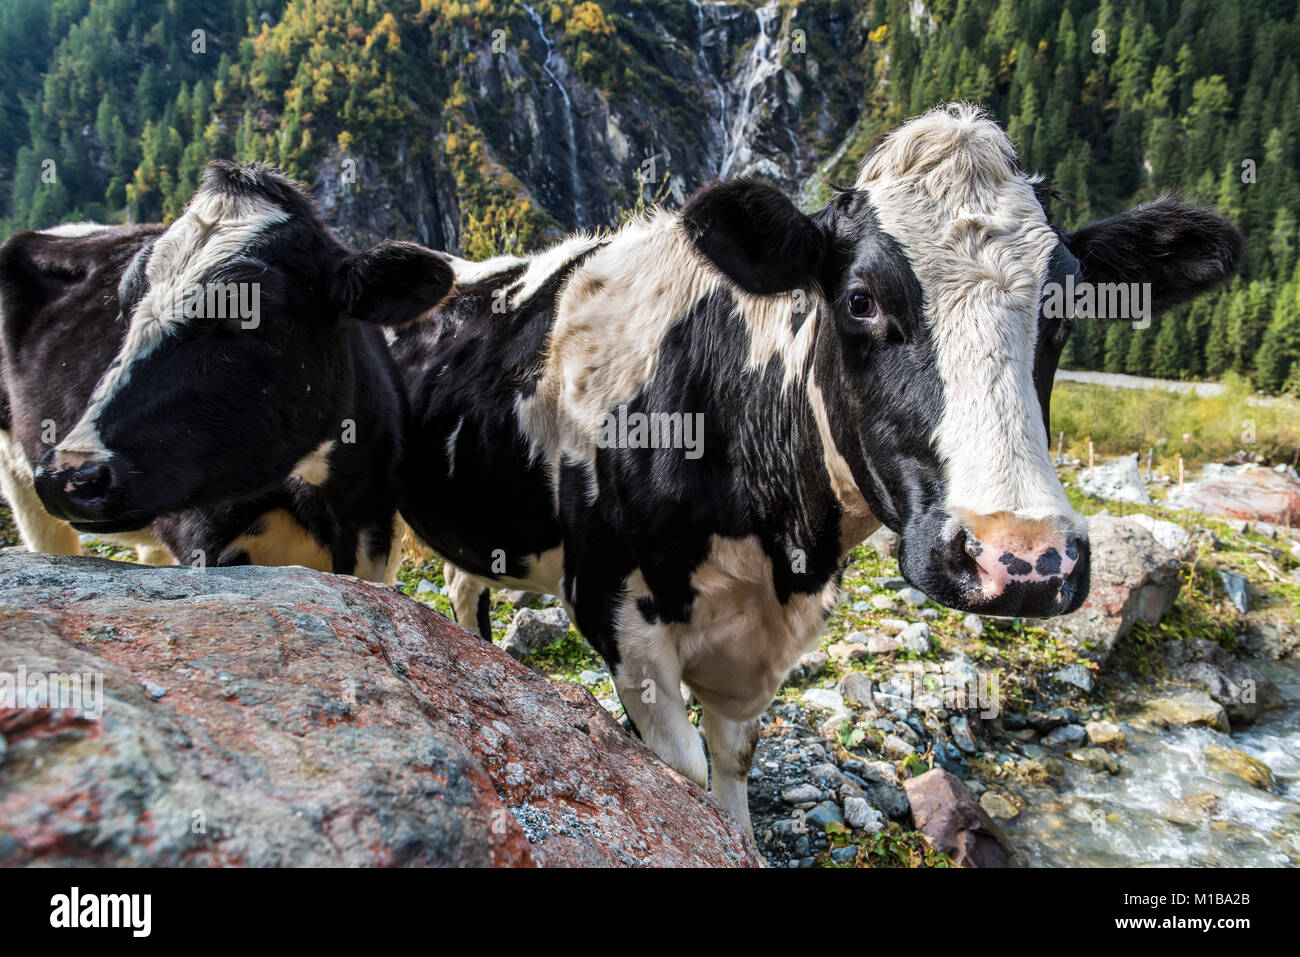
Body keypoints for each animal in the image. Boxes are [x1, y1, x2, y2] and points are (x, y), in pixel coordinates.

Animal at [0, 161, 453, 580]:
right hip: (21, 481)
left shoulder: (374, 539)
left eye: (249, 312)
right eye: (126, 308)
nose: (75, 474)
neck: (317, 502)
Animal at [393, 103, 1243, 833]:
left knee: (462, 584)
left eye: (1066, 305)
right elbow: (684, 772)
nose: (1026, 558)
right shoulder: (611, 604)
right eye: (861, 298)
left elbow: (732, 762)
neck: (778, 544)